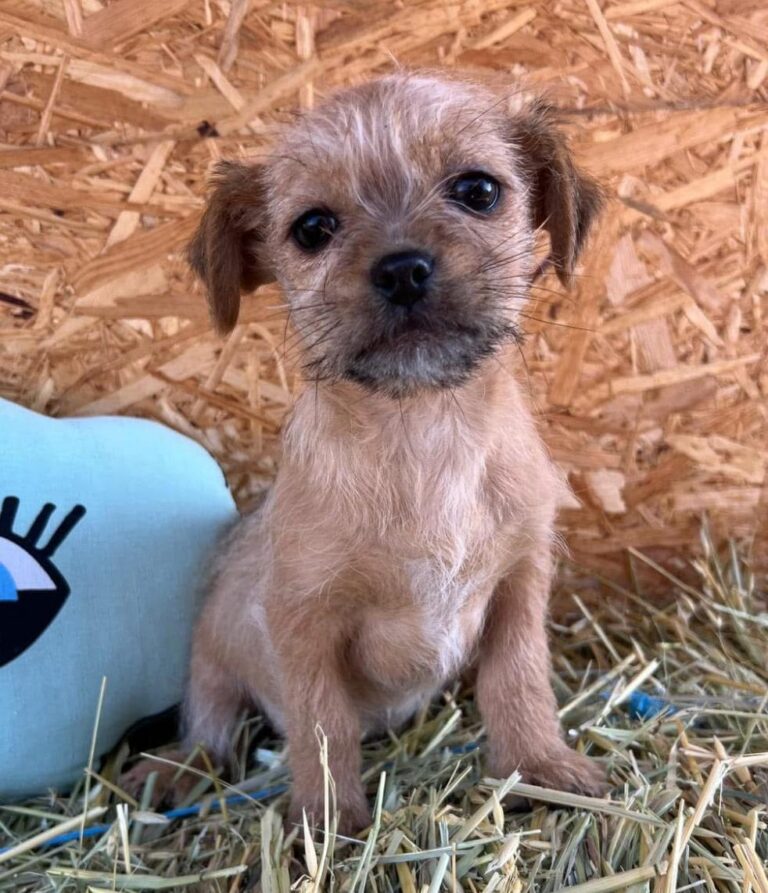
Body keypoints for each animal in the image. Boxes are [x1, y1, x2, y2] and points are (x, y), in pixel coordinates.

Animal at [135, 73, 604, 832]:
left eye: (478, 190)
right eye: (313, 229)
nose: (403, 268)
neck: (424, 430)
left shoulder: (519, 582)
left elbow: (518, 679)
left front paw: (540, 767)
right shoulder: (304, 618)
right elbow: (322, 725)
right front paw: (327, 821)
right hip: (213, 649)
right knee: (209, 718)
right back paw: (180, 767)